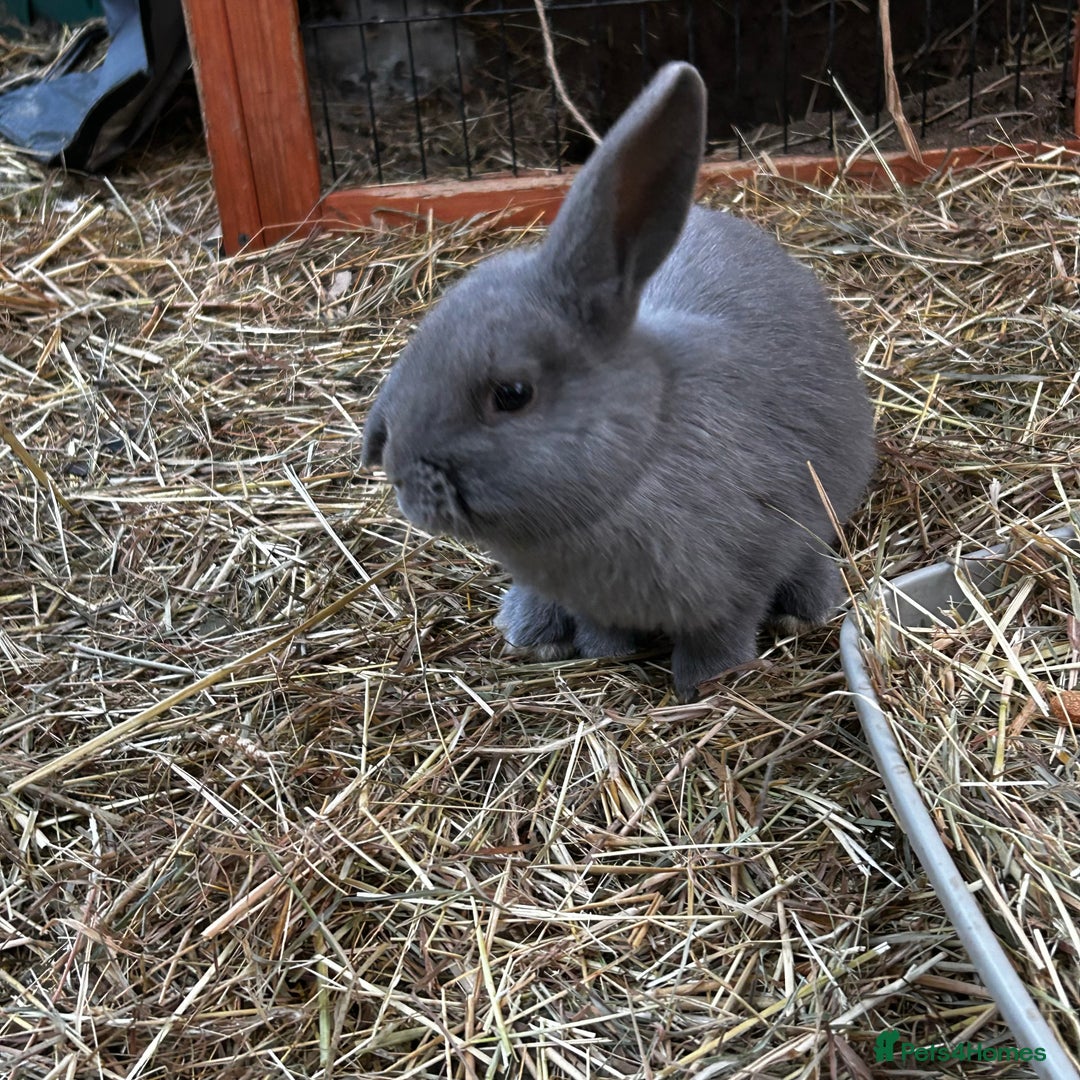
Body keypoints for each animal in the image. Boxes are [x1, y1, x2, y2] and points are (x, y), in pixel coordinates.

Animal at [361, 62, 876, 701]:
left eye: (512, 395)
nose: (399, 478)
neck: (639, 458)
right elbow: (599, 625)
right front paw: (604, 653)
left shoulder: (747, 569)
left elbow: (724, 629)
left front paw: (706, 684)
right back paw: (530, 628)